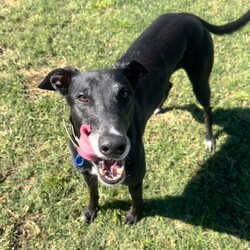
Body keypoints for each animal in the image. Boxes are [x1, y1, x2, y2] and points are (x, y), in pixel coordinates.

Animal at [39, 10, 250, 224]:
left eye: (125, 93)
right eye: (82, 97)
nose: (113, 146)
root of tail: (186, 14)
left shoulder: (137, 176)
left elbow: (136, 198)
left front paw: (134, 216)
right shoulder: (86, 174)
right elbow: (93, 193)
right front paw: (91, 210)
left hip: (200, 80)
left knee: (207, 109)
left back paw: (209, 139)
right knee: (168, 85)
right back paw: (158, 107)